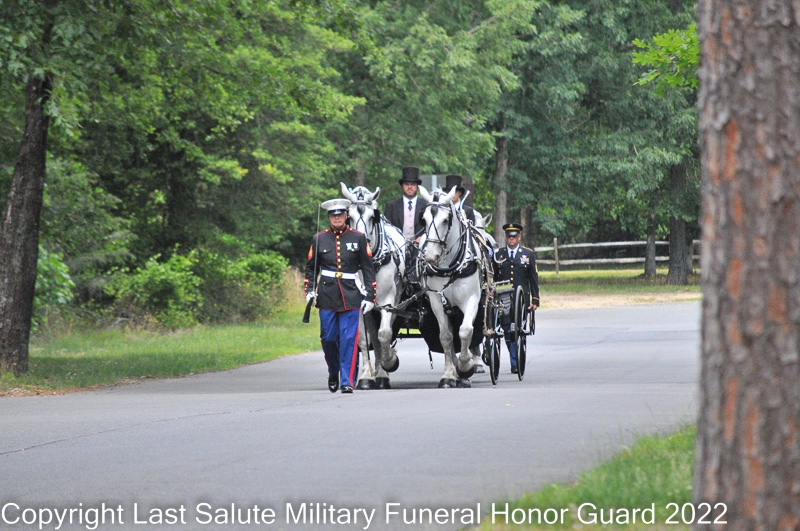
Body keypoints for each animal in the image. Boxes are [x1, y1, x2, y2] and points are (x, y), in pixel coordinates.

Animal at [340, 183, 406, 389]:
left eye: (372, 216)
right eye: (349, 216)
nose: (361, 245)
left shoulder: (387, 302)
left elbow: (384, 334)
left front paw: (389, 362)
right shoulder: (358, 305)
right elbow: (363, 339)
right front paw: (365, 377)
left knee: (383, 333)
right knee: (373, 336)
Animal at [417, 185, 491, 388]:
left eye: (445, 220)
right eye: (423, 219)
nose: (430, 257)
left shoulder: (472, 299)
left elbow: (465, 331)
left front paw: (466, 367)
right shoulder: (436, 301)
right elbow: (446, 337)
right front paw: (450, 374)